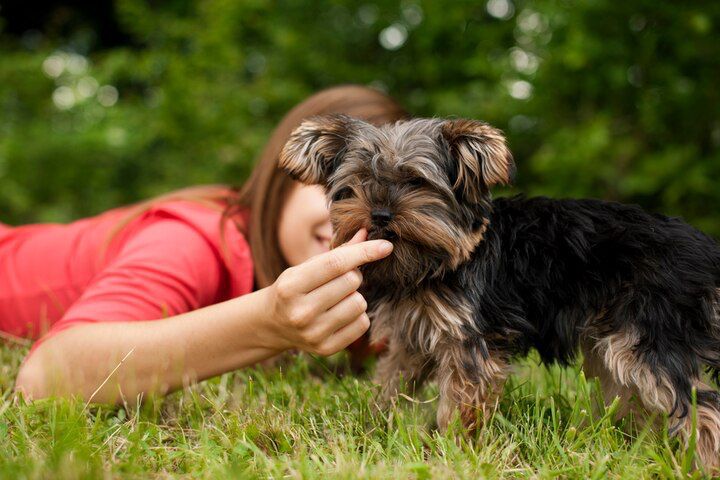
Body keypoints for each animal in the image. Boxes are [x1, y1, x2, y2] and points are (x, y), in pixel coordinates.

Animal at [278, 114, 720, 470]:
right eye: (359, 184)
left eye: (416, 182)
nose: (380, 215)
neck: (435, 263)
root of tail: (705, 250)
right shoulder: (411, 336)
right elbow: (393, 382)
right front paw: (375, 428)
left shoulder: (470, 340)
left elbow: (461, 403)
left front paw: (454, 452)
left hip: (649, 330)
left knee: (699, 403)